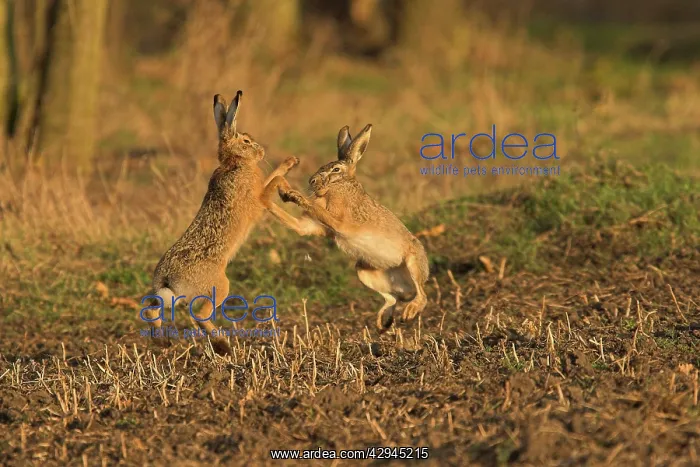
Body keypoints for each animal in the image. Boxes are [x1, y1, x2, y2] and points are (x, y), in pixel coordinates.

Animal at [143, 91, 299, 355]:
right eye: (246, 141)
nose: (261, 152)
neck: (235, 163)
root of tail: (168, 280)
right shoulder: (259, 199)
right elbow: (274, 180)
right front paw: (289, 182)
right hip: (219, 286)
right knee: (199, 315)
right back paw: (222, 345)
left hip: (170, 297)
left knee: (154, 310)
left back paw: (162, 342)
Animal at [265, 123, 429, 331]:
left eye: (336, 169)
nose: (311, 181)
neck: (339, 185)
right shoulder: (315, 226)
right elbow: (301, 226)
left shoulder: (340, 222)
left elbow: (317, 209)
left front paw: (295, 195)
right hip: (363, 272)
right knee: (393, 299)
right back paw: (383, 322)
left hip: (413, 262)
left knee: (422, 296)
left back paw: (408, 313)